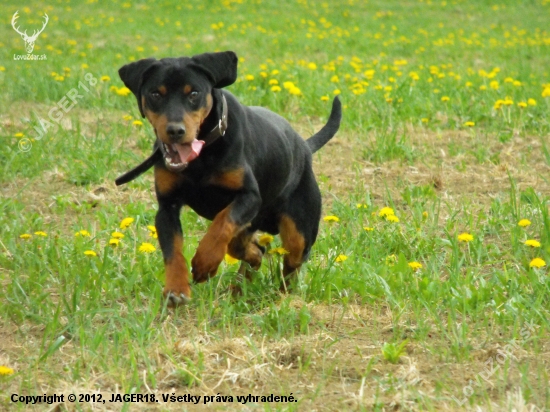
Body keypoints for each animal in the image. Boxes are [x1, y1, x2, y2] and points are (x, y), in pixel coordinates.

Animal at [116, 51, 340, 304]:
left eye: (194, 93)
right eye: (155, 94)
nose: (175, 131)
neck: (203, 154)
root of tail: (304, 146)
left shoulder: (249, 196)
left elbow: (222, 222)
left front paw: (205, 263)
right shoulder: (167, 206)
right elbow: (172, 250)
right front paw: (176, 289)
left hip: (299, 230)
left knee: (290, 262)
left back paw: (284, 296)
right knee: (251, 250)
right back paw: (239, 288)